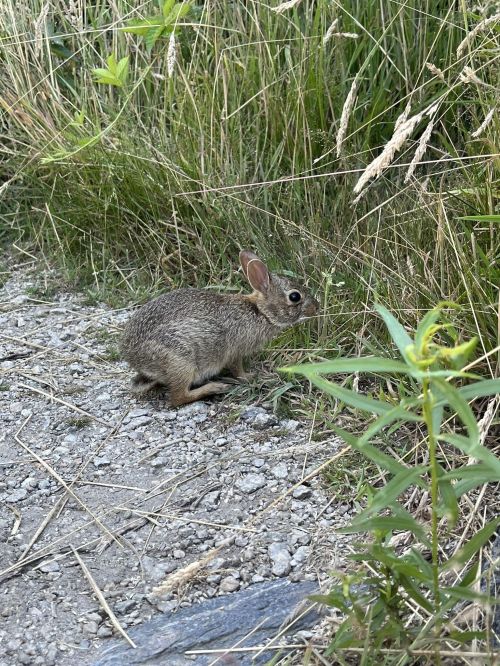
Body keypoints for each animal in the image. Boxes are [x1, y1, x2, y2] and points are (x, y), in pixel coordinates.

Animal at [121, 250, 318, 406]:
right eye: (295, 296)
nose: (316, 307)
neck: (260, 311)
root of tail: (134, 358)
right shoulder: (235, 351)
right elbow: (237, 369)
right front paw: (249, 377)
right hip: (180, 361)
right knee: (178, 398)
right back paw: (214, 387)